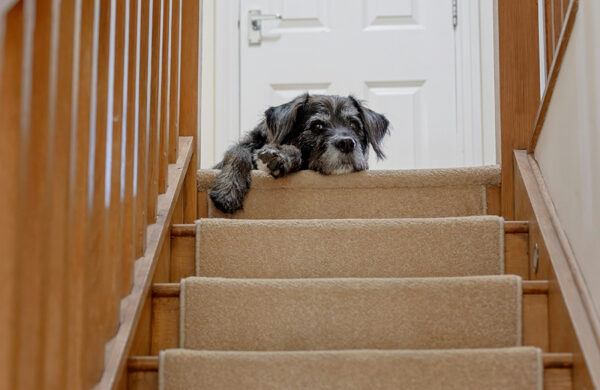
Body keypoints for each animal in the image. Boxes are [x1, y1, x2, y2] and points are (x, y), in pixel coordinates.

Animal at [210, 93, 390, 215]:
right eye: (317, 126)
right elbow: (237, 151)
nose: (346, 143)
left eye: (354, 125)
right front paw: (228, 189)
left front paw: (282, 155)